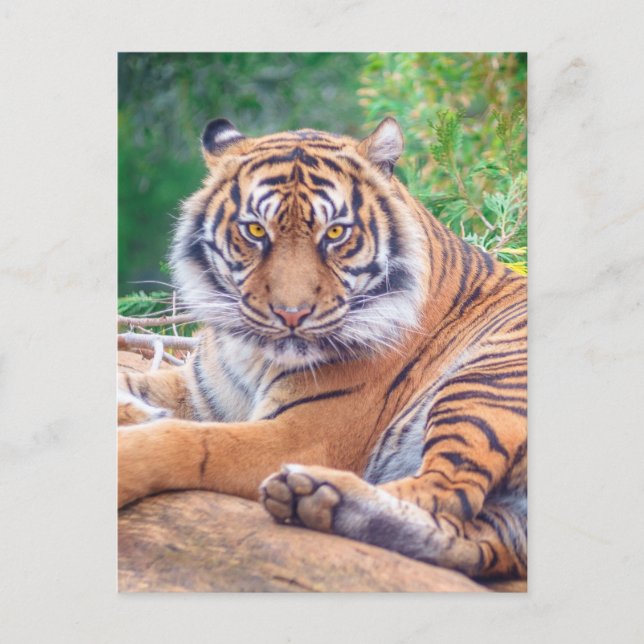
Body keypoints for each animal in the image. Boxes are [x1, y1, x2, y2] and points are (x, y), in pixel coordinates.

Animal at [118, 116, 527, 582]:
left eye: (335, 233)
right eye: (255, 230)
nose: (291, 314)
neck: (252, 353)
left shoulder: (300, 436)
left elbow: (187, 441)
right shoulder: (199, 391)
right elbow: (128, 381)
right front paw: (133, 409)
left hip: (484, 381)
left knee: (446, 493)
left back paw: (318, 489)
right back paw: (316, 501)